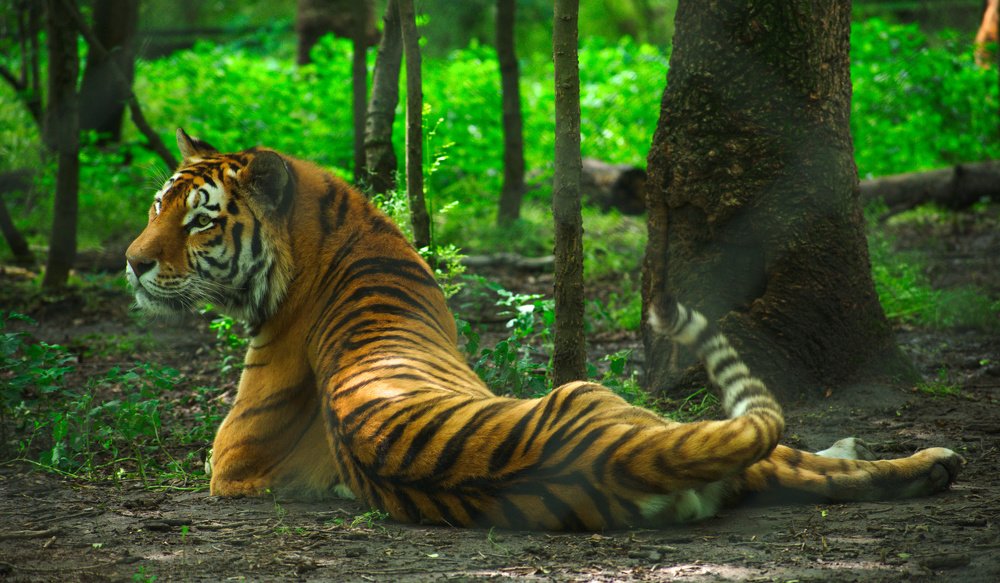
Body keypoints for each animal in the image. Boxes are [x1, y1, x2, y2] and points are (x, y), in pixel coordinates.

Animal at [124, 129, 963, 530]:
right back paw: (928, 462)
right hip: (621, 403)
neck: (333, 229)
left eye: (196, 221)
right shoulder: (229, 460)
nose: (131, 263)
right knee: (794, 463)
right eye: (158, 208)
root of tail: (619, 456)